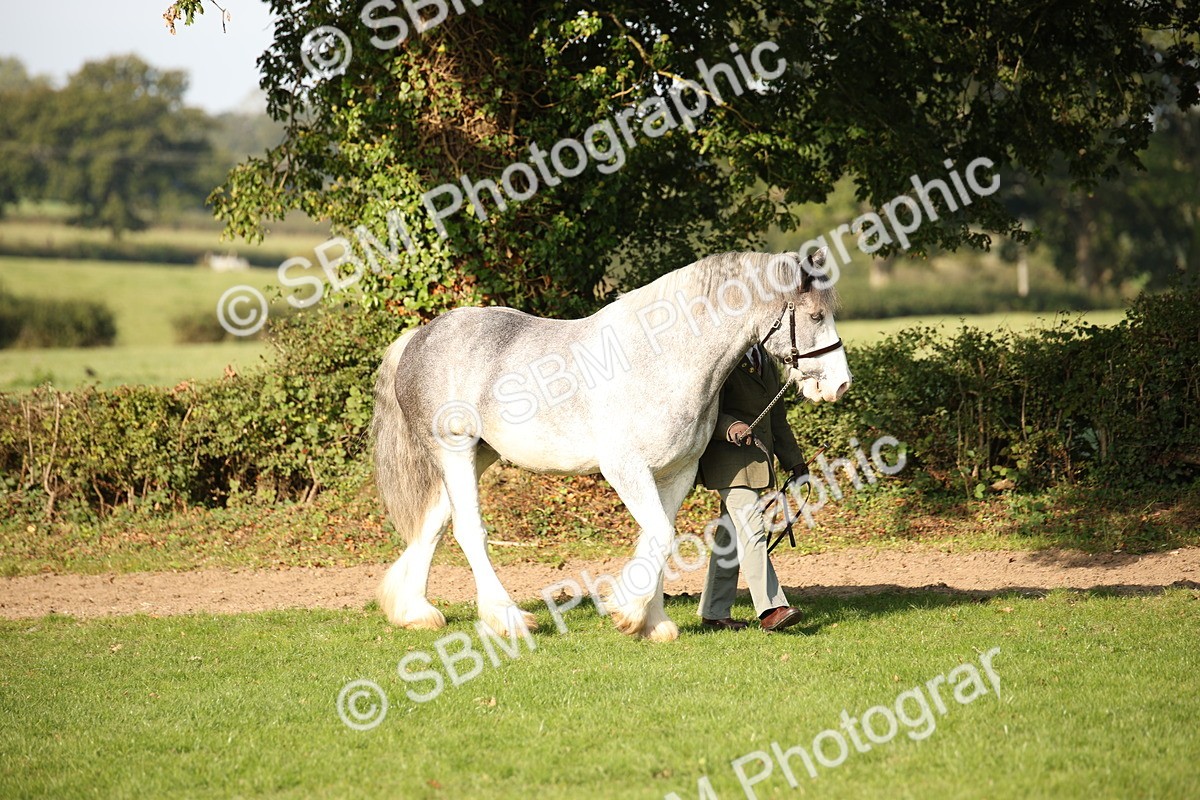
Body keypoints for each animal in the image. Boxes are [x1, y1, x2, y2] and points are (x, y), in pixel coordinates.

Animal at [371, 248, 851, 642]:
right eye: (814, 317)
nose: (840, 385)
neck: (663, 358)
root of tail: (422, 336)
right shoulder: (626, 469)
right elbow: (660, 534)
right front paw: (629, 613)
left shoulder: (676, 473)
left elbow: (657, 537)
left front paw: (652, 622)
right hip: (454, 448)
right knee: (468, 531)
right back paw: (508, 619)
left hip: (479, 453)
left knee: (433, 524)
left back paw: (414, 611)